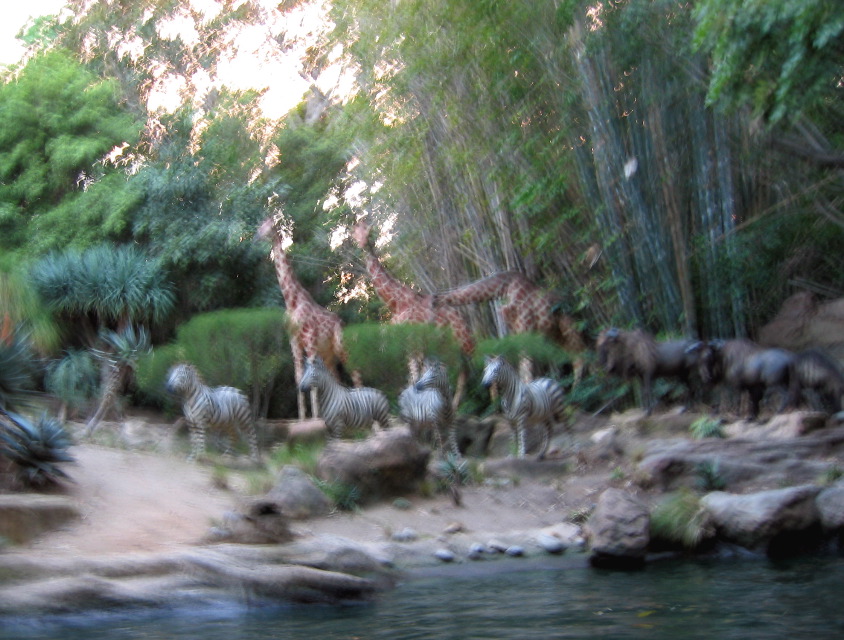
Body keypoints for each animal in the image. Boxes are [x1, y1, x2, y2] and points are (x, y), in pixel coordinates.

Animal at [258, 218, 348, 422]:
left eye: (268, 225)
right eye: (260, 225)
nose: (257, 235)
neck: (292, 302)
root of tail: (341, 322)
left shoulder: (310, 341)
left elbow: (313, 380)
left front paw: (316, 418)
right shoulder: (295, 343)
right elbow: (299, 379)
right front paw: (303, 419)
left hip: (339, 346)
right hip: (328, 353)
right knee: (337, 377)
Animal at [352, 220, 474, 400]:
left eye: (368, 232)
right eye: (355, 234)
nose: (363, 244)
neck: (396, 303)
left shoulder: (410, 343)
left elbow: (414, 377)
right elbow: (416, 377)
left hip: (451, 347)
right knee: (462, 374)